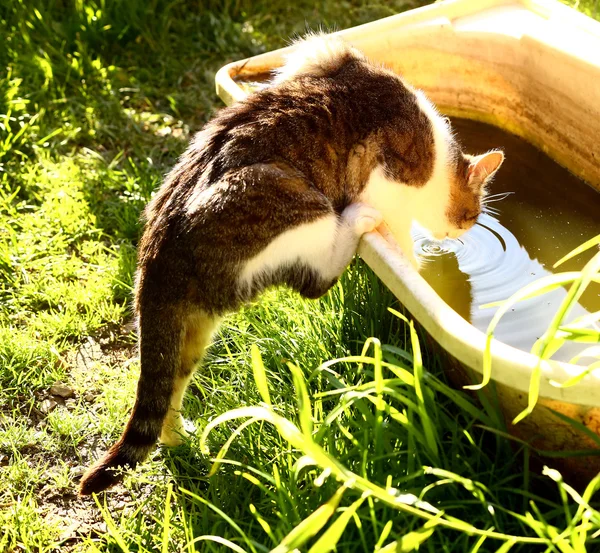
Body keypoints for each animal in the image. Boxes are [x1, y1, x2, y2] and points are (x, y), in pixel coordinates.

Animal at [78, 34, 502, 494]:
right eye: (472, 216)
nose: (459, 236)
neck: (433, 150)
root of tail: (156, 252)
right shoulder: (384, 172)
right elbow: (398, 231)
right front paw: (410, 260)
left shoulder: (323, 55)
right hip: (294, 200)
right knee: (315, 281)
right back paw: (356, 221)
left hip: (191, 331)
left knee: (170, 382)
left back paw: (178, 438)